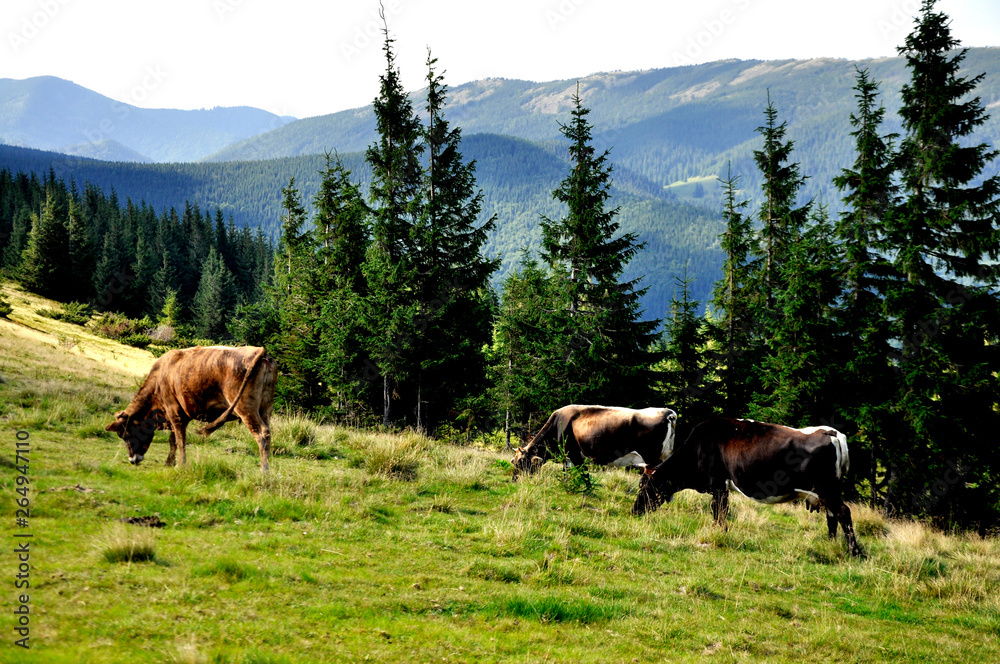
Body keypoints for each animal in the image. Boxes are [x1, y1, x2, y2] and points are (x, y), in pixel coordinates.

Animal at [105, 346, 277, 472]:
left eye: (126, 434)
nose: (132, 460)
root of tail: (258, 350)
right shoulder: (182, 414)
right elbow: (173, 440)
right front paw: (169, 462)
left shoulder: (173, 410)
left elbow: (180, 440)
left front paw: (180, 465)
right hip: (265, 408)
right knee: (268, 432)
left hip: (245, 408)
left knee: (262, 434)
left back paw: (264, 470)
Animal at [511, 405, 678, 479]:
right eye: (513, 461)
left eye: (521, 462)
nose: (514, 478)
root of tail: (668, 413)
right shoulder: (568, 458)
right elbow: (567, 474)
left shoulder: (575, 454)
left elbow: (584, 476)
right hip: (665, 458)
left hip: (650, 460)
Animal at [632, 418, 864, 558]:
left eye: (644, 487)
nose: (634, 511)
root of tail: (832, 432)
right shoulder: (721, 486)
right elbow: (721, 511)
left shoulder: (718, 484)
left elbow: (719, 511)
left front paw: (719, 533)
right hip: (828, 490)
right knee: (832, 516)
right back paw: (830, 544)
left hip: (827, 488)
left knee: (843, 512)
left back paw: (854, 552)